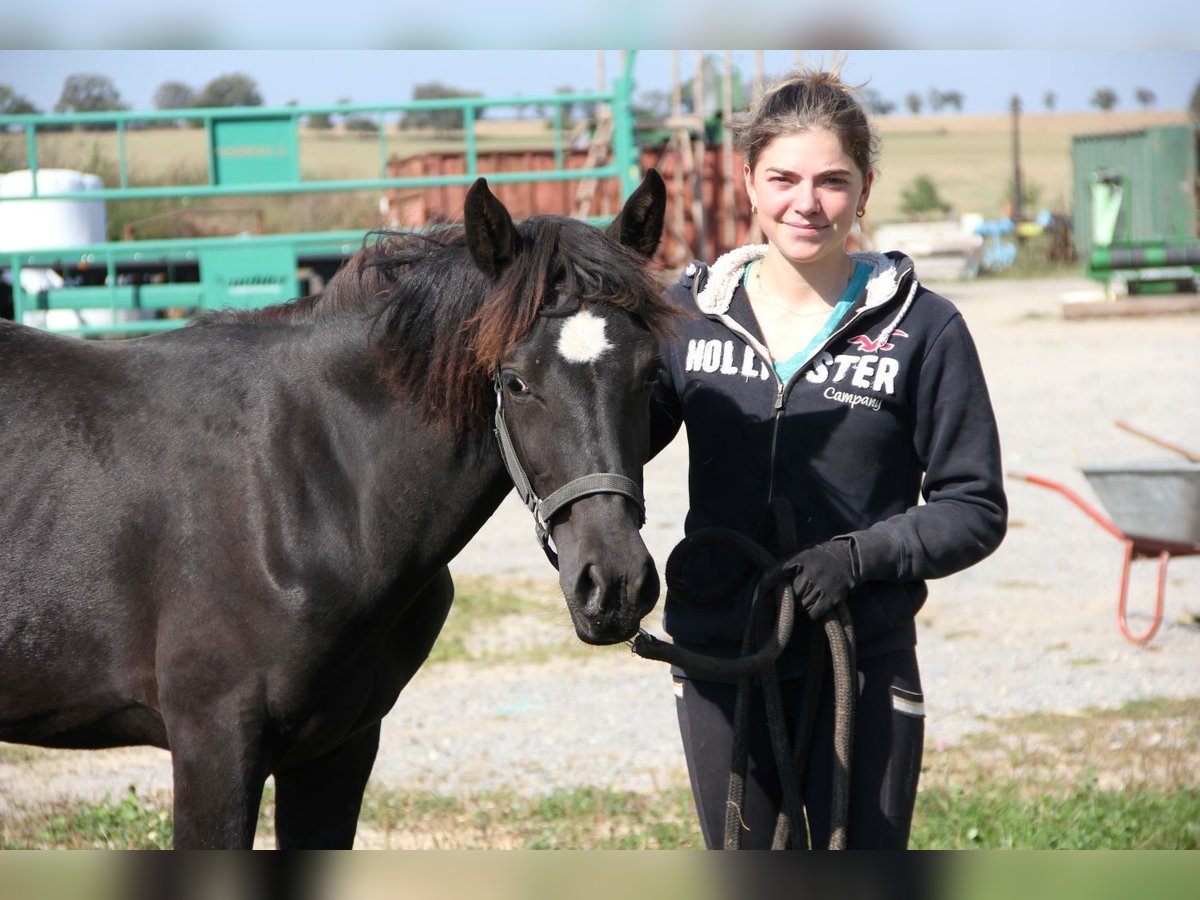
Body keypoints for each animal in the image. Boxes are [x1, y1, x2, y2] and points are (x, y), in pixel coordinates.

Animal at [0, 172, 676, 849]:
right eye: (515, 382)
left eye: (649, 373)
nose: (614, 583)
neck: (303, 487)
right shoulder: (213, 744)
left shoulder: (338, 749)